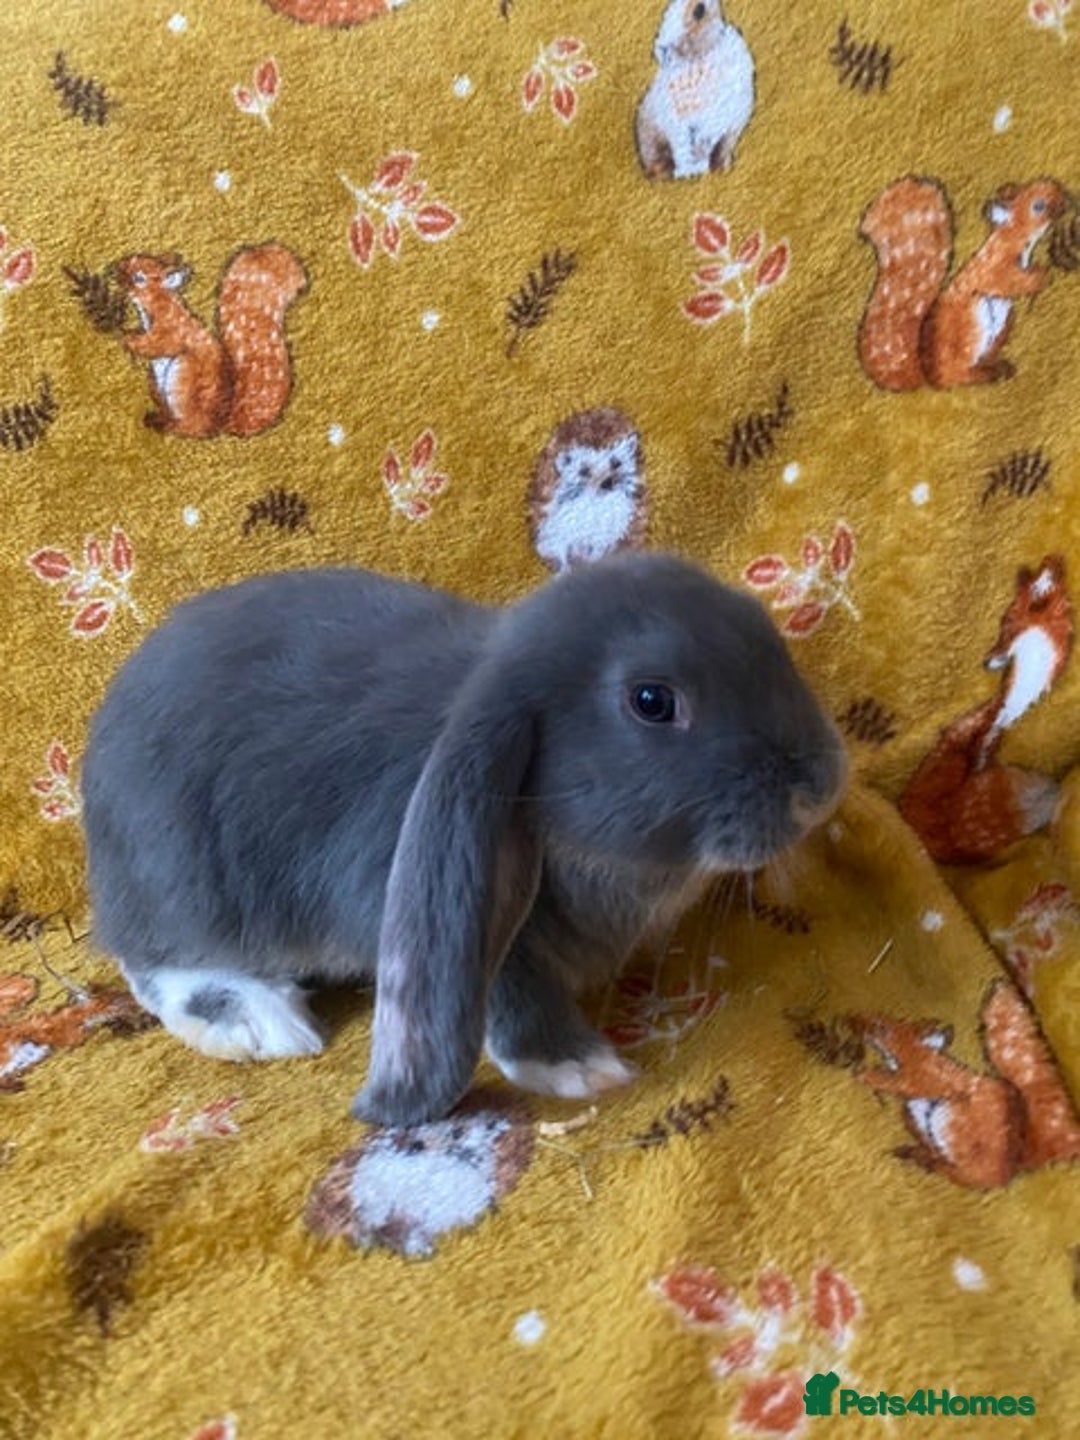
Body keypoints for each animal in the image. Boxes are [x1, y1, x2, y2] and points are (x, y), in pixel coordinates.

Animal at [82, 551, 846, 1128]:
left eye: (762, 628)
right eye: (653, 701)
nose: (819, 785)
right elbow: (503, 978)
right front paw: (579, 1066)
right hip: (188, 883)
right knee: (152, 965)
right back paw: (257, 1019)